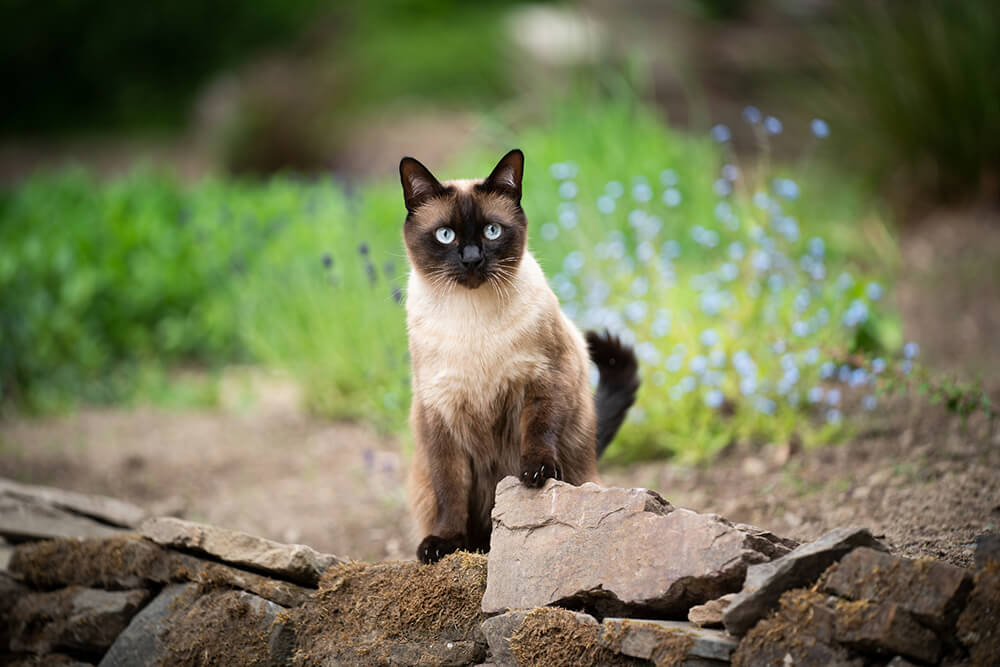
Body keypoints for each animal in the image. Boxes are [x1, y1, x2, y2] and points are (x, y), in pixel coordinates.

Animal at [400, 150, 640, 564]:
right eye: (446, 235)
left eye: (492, 231)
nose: (472, 259)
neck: (471, 320)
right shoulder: (440, 414)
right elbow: (450, 490)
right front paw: (444, 544)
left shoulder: (543, 379)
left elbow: (539, 431)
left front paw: (536, 476)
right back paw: (475, 545)